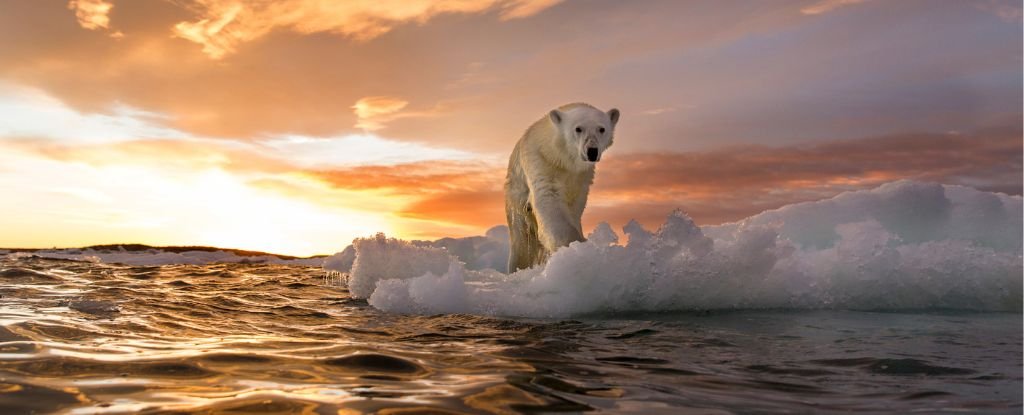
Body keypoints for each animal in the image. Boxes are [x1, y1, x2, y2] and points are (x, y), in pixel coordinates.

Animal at [501, 102, 614, 272]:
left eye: (602, 129)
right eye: (578, 128)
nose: (592, 151)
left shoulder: (581, 177)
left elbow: (574, 206)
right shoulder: (541, 162)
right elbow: (549, 200)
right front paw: (575, 247)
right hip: (516, 199)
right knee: (522, 240)